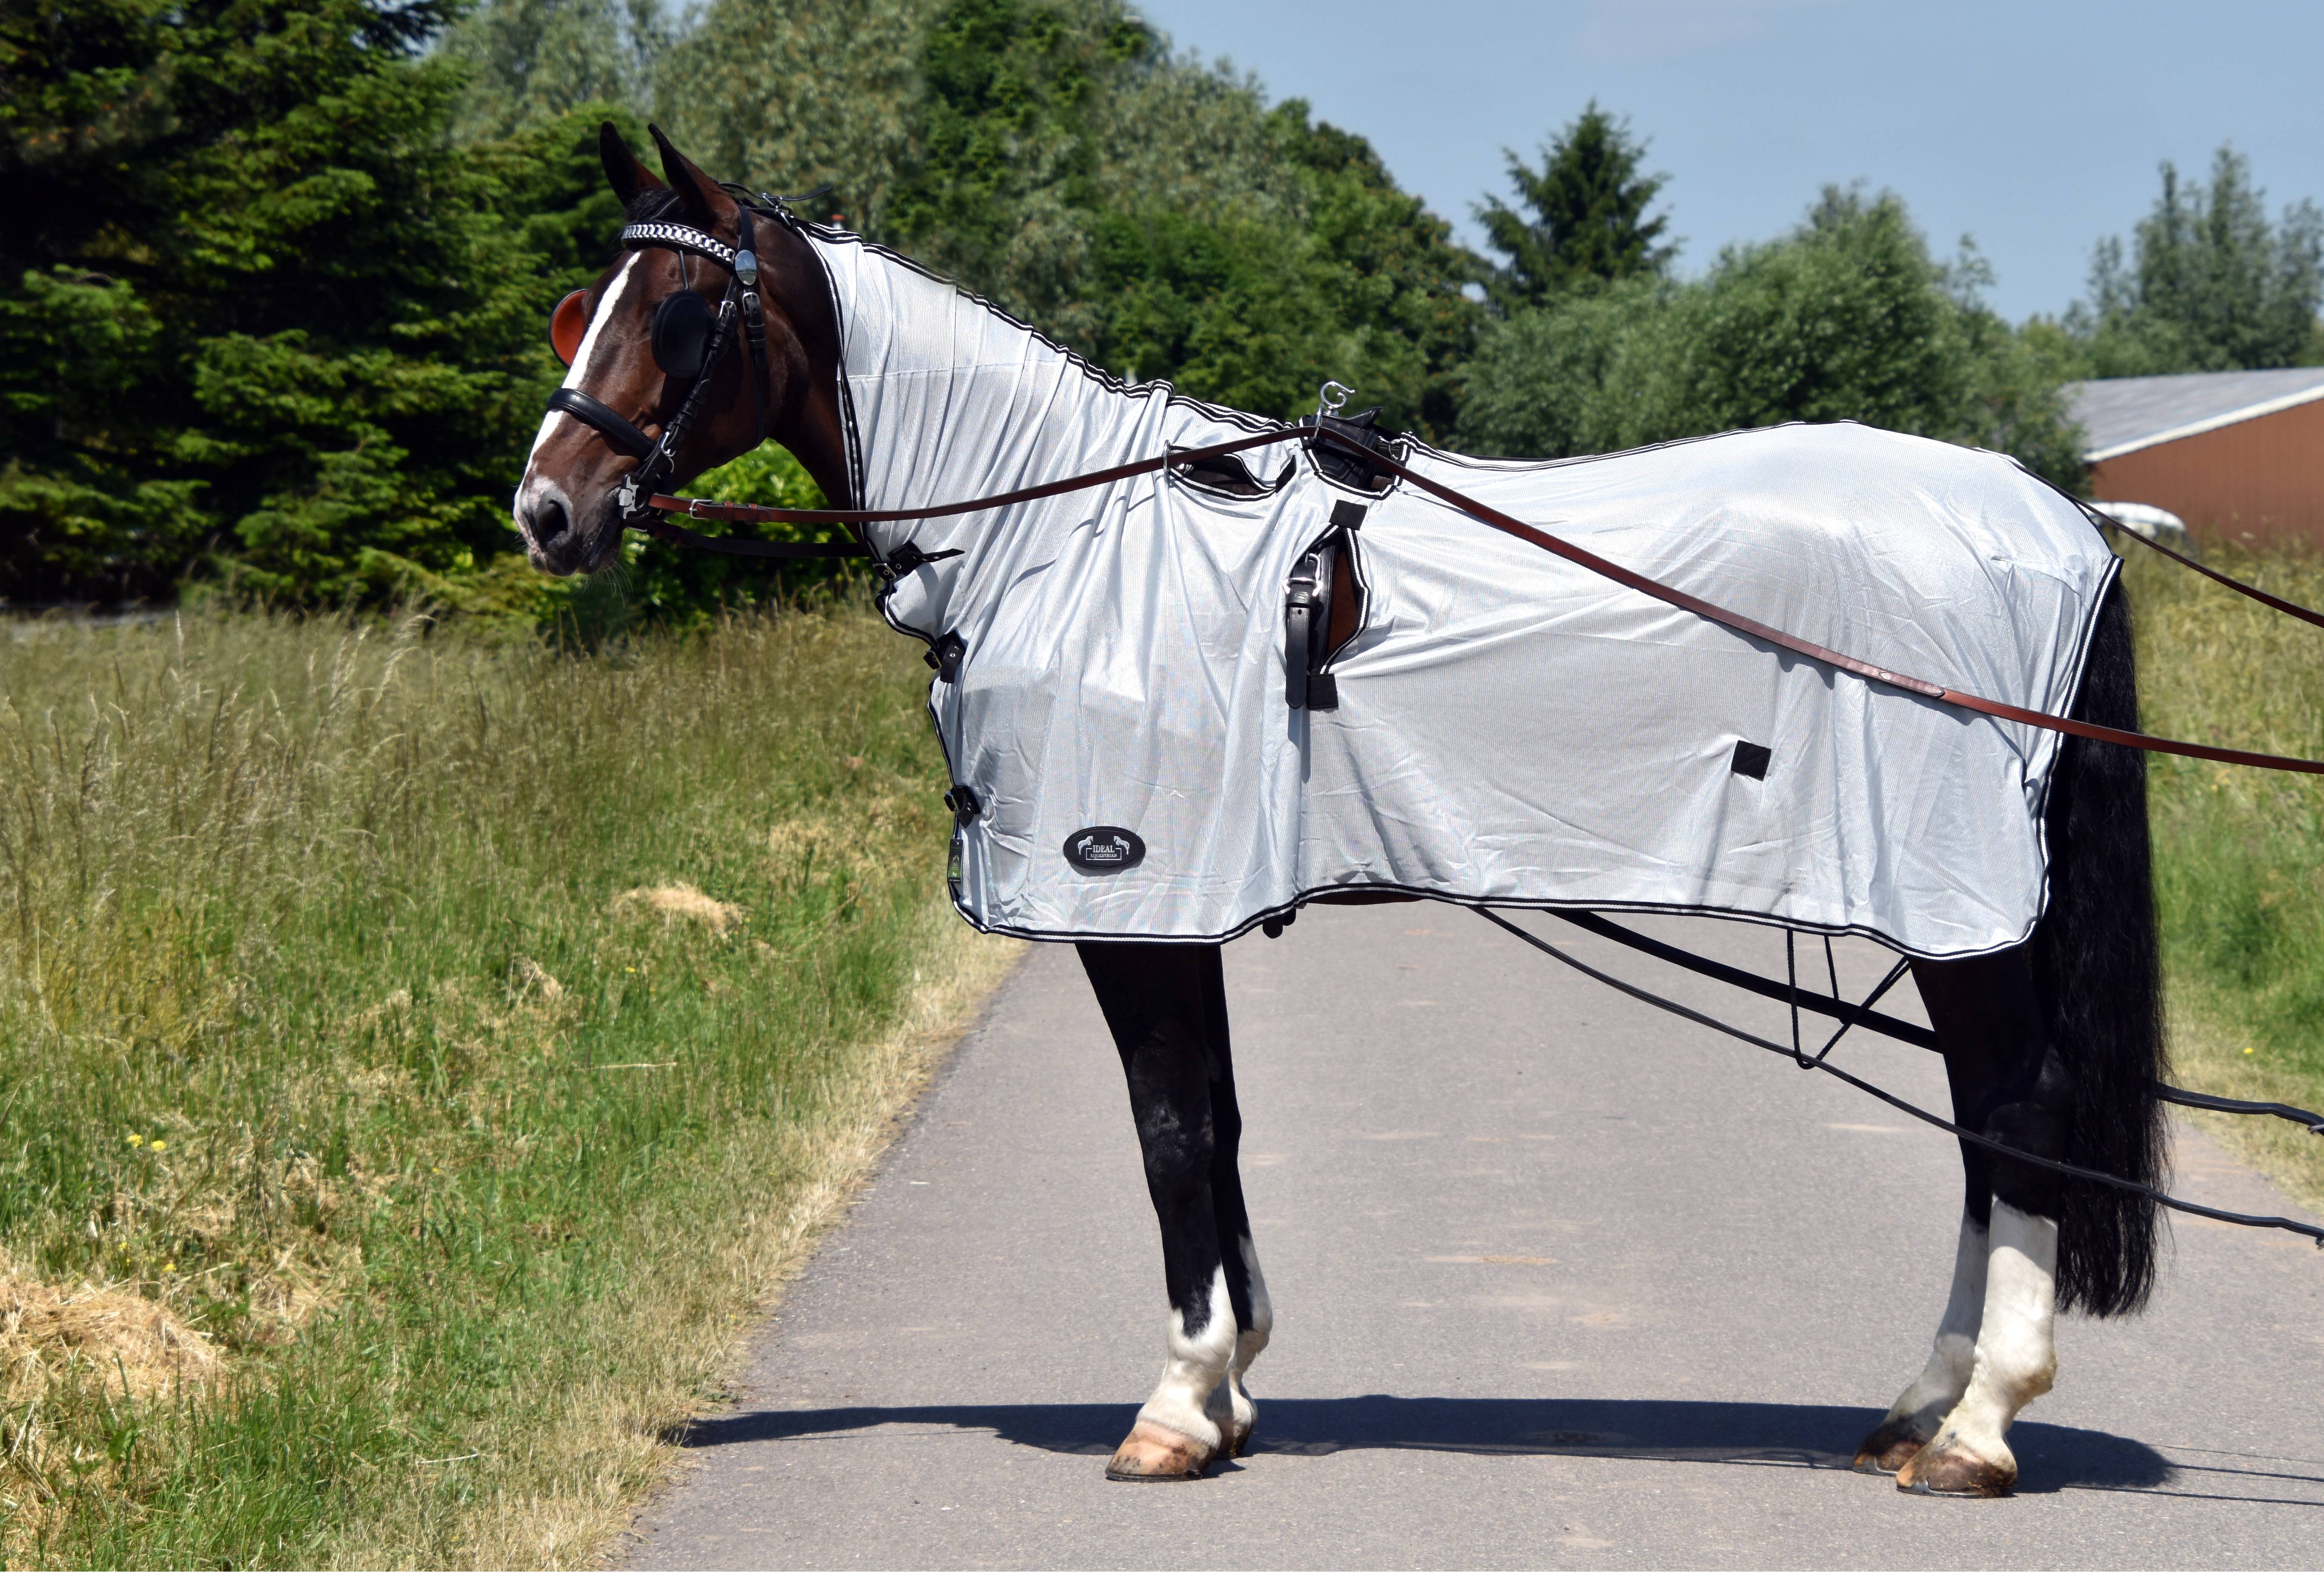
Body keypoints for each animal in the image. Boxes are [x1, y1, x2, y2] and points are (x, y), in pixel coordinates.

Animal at [518, 126, 2166, 1498]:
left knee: (2017, 1125)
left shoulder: (1133, 900)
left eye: (678, 315)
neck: (1068, 537)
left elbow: (1174, 1131)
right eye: (576, 311)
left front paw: (1176, 1405)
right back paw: (1922, 1399)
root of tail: (2062, 524)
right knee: (1987, 1139)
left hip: (1962, 919)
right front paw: (1233, 1384)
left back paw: (1977, 1424)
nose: (547, 510)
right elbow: (1220, 1125)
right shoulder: (1181, 906)